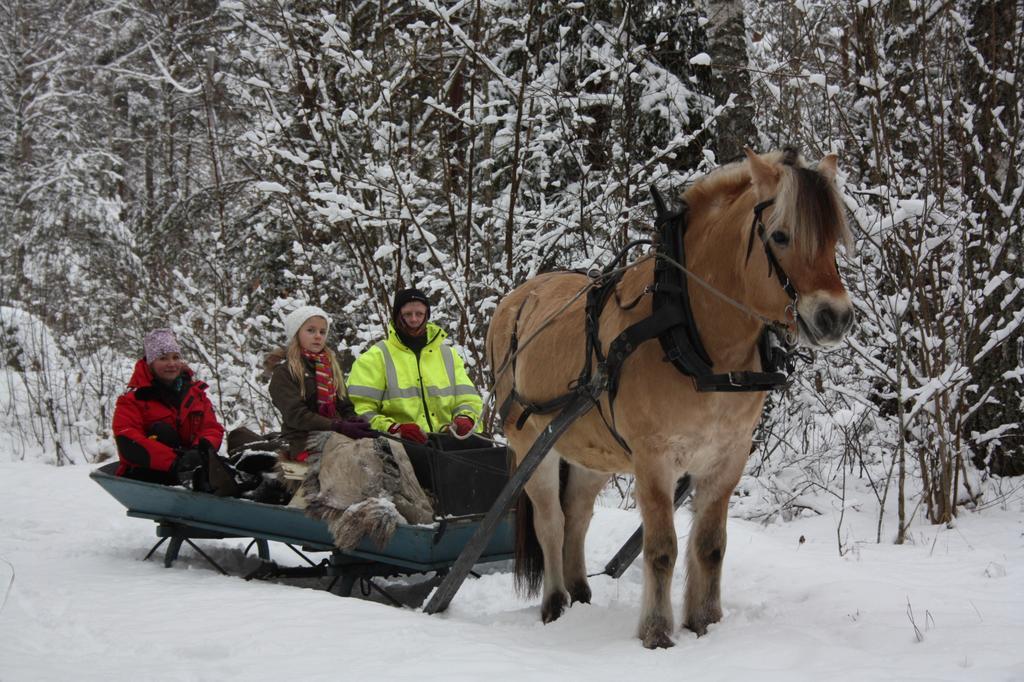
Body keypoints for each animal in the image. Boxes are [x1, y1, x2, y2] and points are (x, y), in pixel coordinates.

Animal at [483, 146, 851, 647]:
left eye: (834, 236)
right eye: (780, 235)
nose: (836, 317)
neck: (689, 334)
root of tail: (516, 298)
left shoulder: (727, 457)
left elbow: (710, 546)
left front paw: (705, 621)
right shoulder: (654, 458)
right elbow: (661, 549)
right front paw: (657, 632)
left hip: (592, 451)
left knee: (577, 516)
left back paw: (580, 595)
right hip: (531, 446)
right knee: (551, 524)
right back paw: (555, 603)